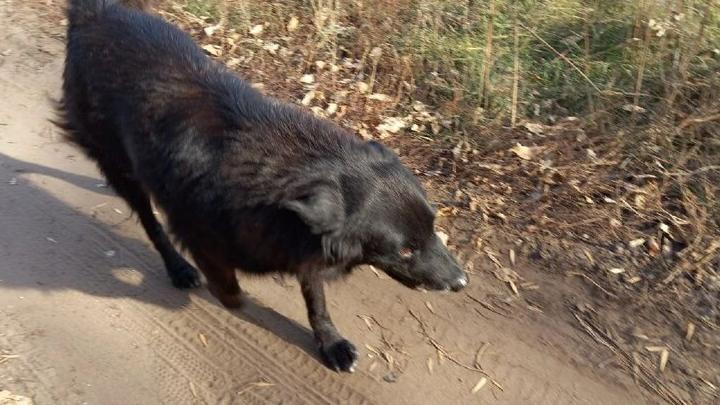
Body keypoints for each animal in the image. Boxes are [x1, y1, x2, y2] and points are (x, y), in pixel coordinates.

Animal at [59, 0, 470, 372]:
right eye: (405, 251)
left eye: (434, 228)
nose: (462, 283)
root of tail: (93, 12)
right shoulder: (206, 236)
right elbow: (230, 289)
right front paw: (230, 294)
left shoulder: (306, 241)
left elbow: (316, 299)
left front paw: (330, 342)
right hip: (118, 164)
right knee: (150, 220)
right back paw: (177, 268)